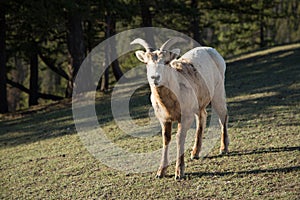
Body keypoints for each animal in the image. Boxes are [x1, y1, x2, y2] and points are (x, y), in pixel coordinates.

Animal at [130, 37, 229, 180]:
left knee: (223, 116)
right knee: (202, 117)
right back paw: (195, 153)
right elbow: (166, 139)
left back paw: (223, 149)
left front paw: (179, 173)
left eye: (166, 62)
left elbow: (179, 137)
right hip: (198, 103)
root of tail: (213, 50)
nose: (155, 77)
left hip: (218, 91)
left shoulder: (186, 116)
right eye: (147, 63)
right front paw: (160, 172)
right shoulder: (164, 119)